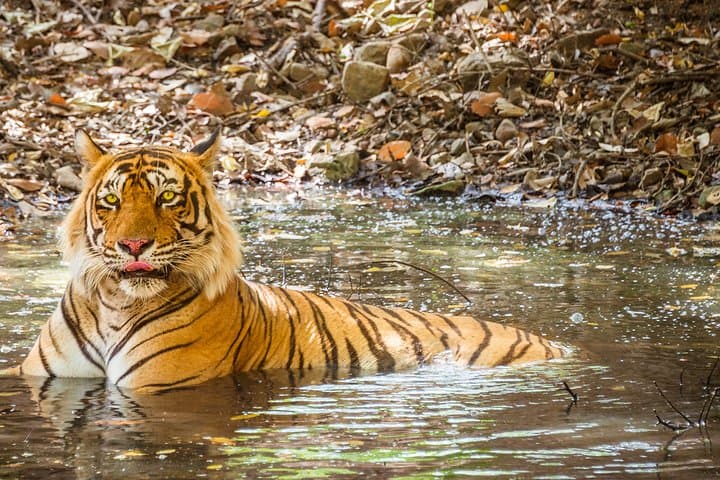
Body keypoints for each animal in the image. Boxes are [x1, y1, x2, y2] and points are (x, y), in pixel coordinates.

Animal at [0, 130, 564, 391]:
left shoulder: (156, 384)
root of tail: (555, 343)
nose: (132, 246)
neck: (116, 304)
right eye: (112, 201)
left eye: (167, 198)